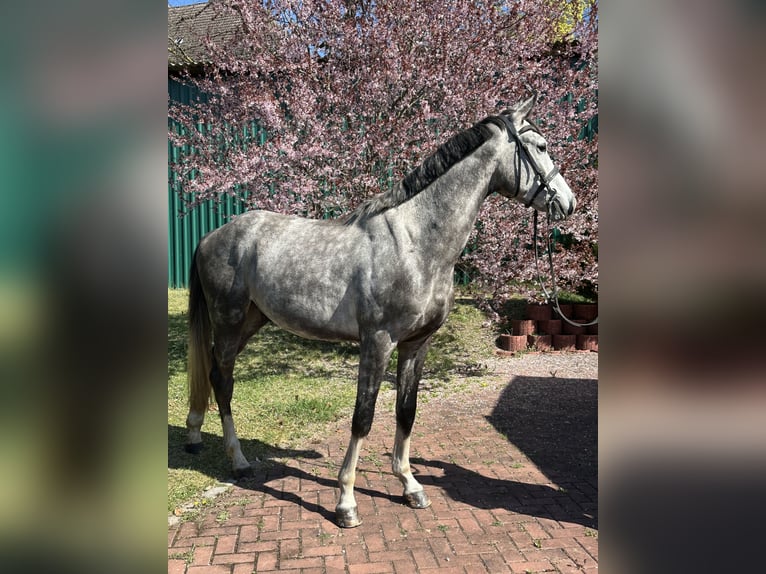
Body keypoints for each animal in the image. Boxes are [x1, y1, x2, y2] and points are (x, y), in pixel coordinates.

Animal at [184, 95, 576, 528]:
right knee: (223, 381)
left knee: (213, 371)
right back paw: (238, 461)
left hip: (251, 320)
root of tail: (213, 235)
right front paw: (346, 502)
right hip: (229, 320)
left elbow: (406, 411)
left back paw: (195, 435)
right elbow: (363, 416)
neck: (416, 242)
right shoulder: (378, 341)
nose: (568, 203)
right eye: (540, 146)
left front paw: (410, 486)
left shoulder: (417, 344)